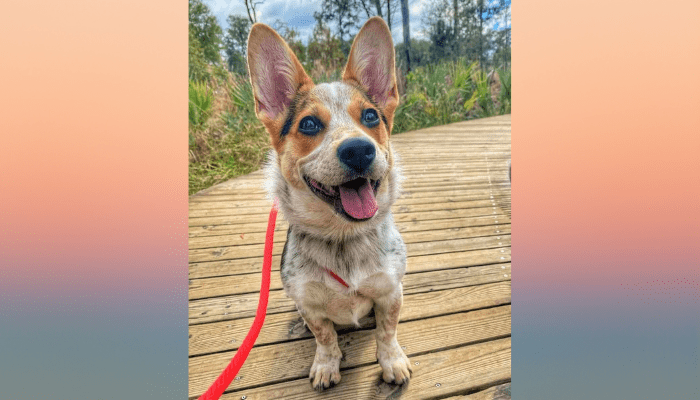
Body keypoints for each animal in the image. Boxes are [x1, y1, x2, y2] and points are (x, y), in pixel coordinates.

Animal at [246, 16, 410, 390]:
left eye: (370, 117)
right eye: (308, 123)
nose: (358, 150)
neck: (343, 238)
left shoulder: (390, 292)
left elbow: (387, 332)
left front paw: (392, 363)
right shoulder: (309, 305)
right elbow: (325, 337)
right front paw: (326, 365)